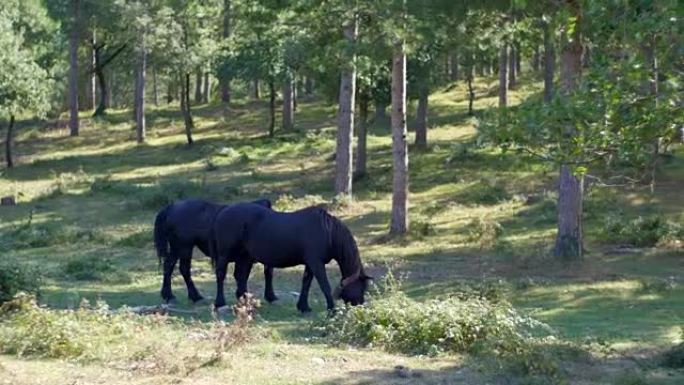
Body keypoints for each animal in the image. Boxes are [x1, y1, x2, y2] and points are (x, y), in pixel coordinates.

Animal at [210, 202, 368, 310]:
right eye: (361, 287)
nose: (360, 305)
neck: (327, 231)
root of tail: (222, 213)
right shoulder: (316, 263)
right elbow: (324, 285)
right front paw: (331, 309)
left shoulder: (310, 264)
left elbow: (306, 283)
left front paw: (303, 307)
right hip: (225, 255)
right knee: (221, 275)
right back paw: (220, 302)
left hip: (245, 257)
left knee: (240, 277)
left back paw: (246, 303)